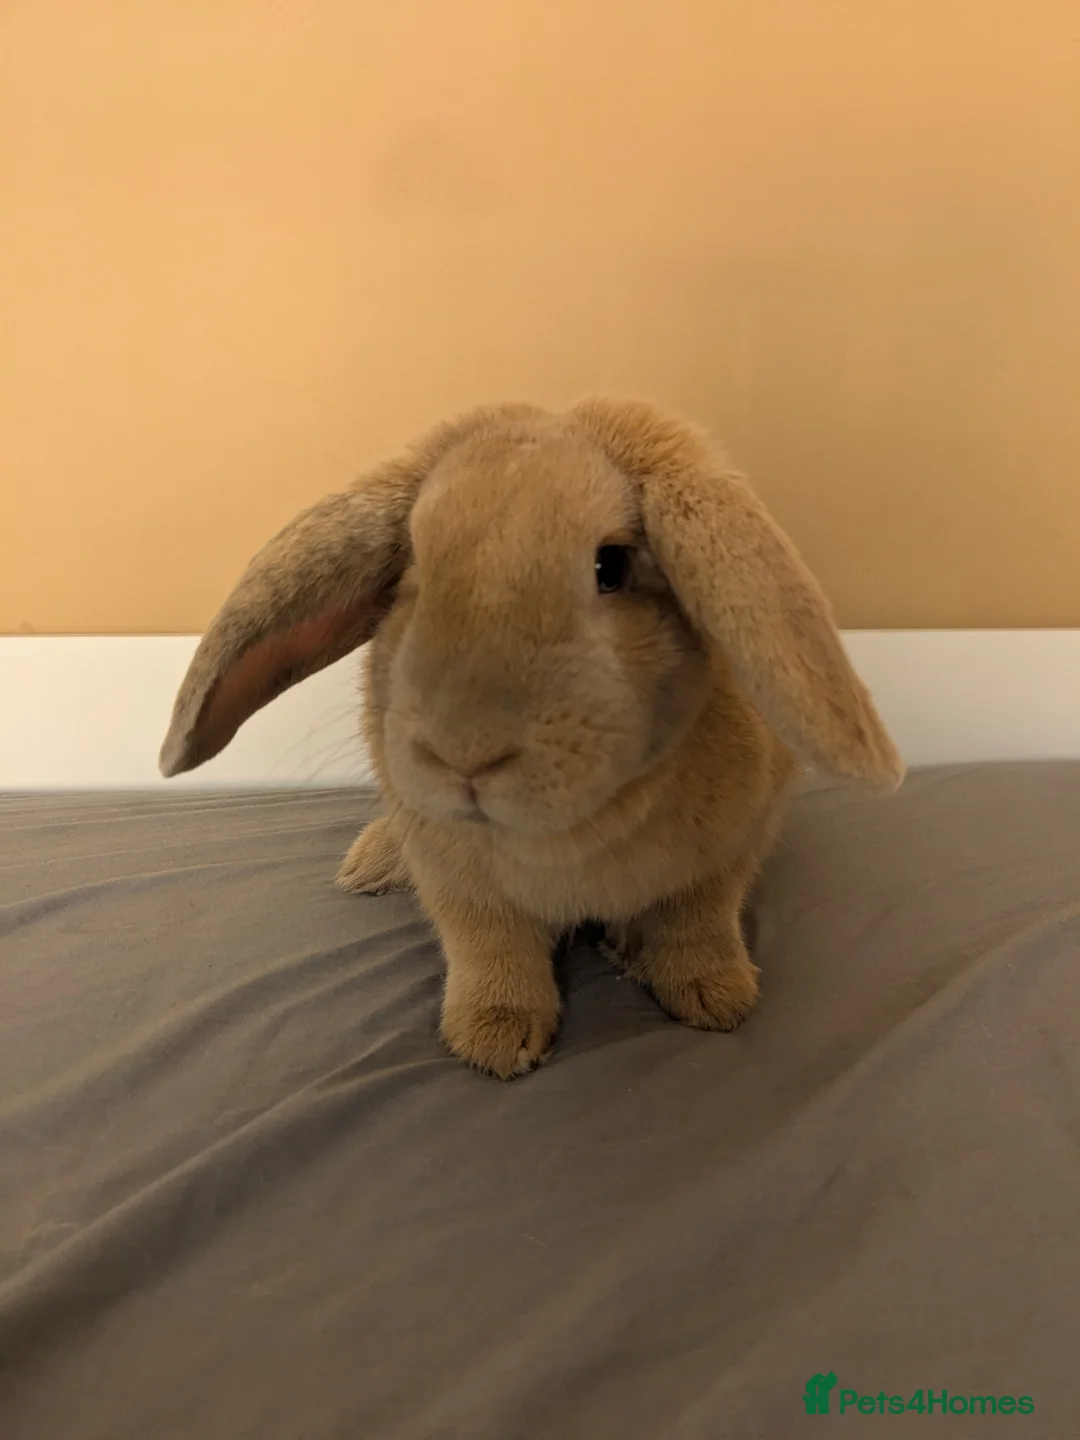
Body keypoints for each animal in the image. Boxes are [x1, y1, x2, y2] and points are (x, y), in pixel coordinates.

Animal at [160, 398, 903, 1078]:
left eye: (612, 566)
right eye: (412, 570)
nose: (461, 754)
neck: (569, 832)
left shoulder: (729, 852)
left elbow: (697, 921)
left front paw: (715, 999)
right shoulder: (459, 883)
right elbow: (491, 947)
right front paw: (495, 1038)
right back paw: (368, 867)